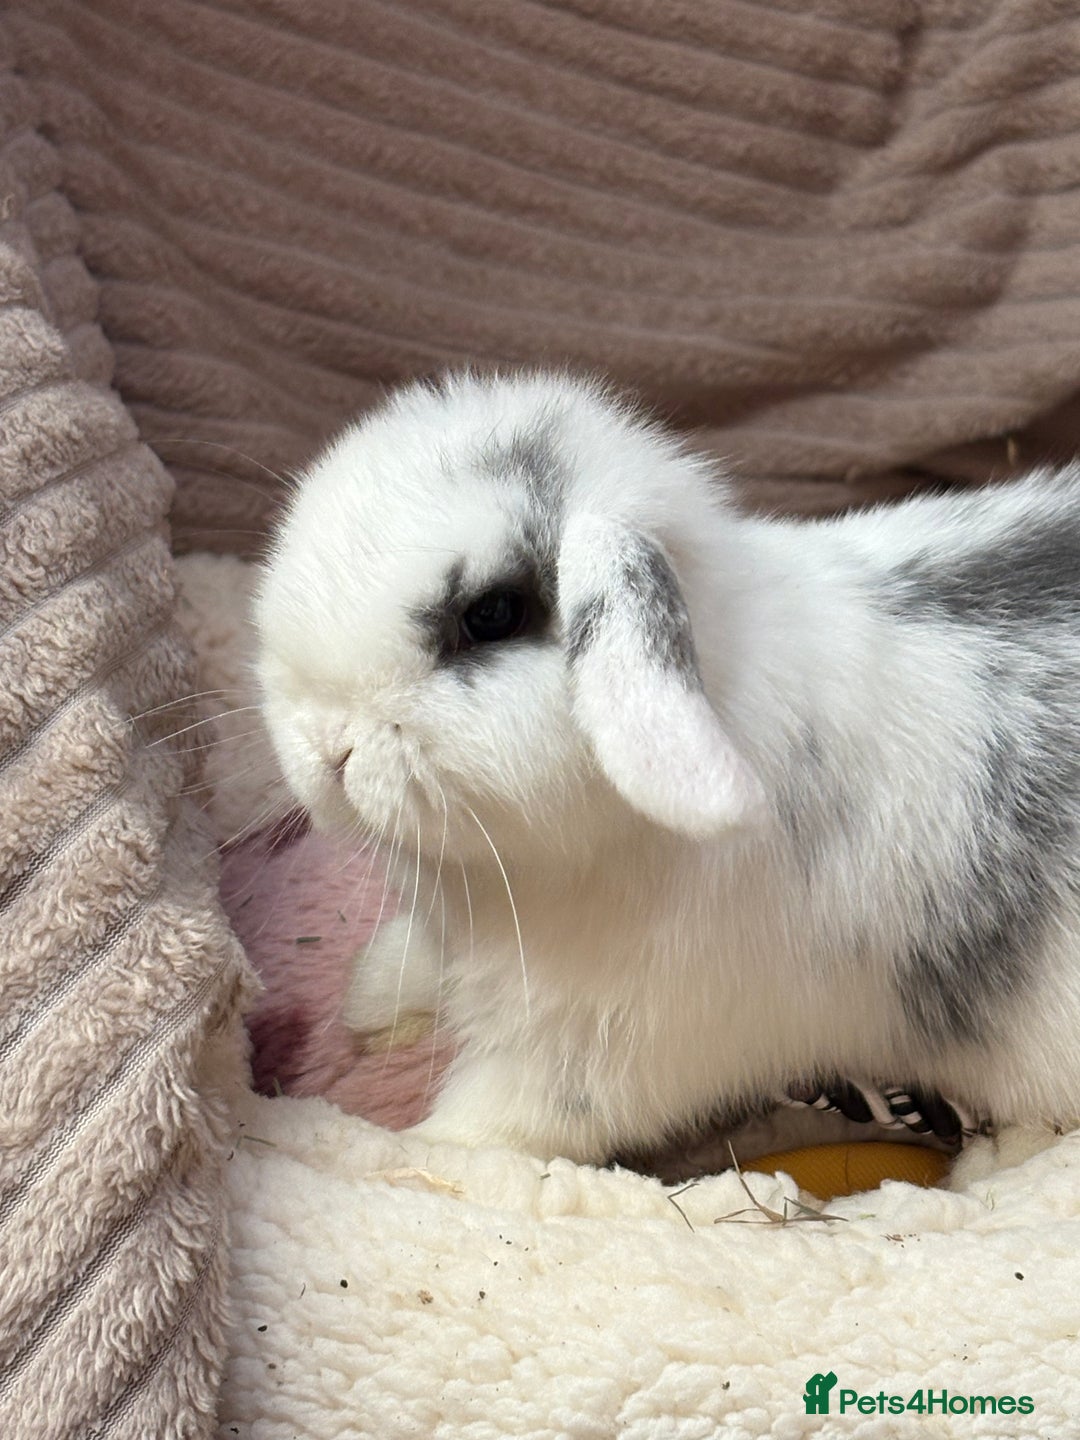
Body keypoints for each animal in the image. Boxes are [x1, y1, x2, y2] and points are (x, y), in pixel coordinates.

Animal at [254, 369, 1080, 1174]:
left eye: (491, 613)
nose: (325, 748)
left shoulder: (603, 1053)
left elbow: (501, 1122)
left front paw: (404, 1155)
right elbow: (418, 966)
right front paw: (370, 1006)